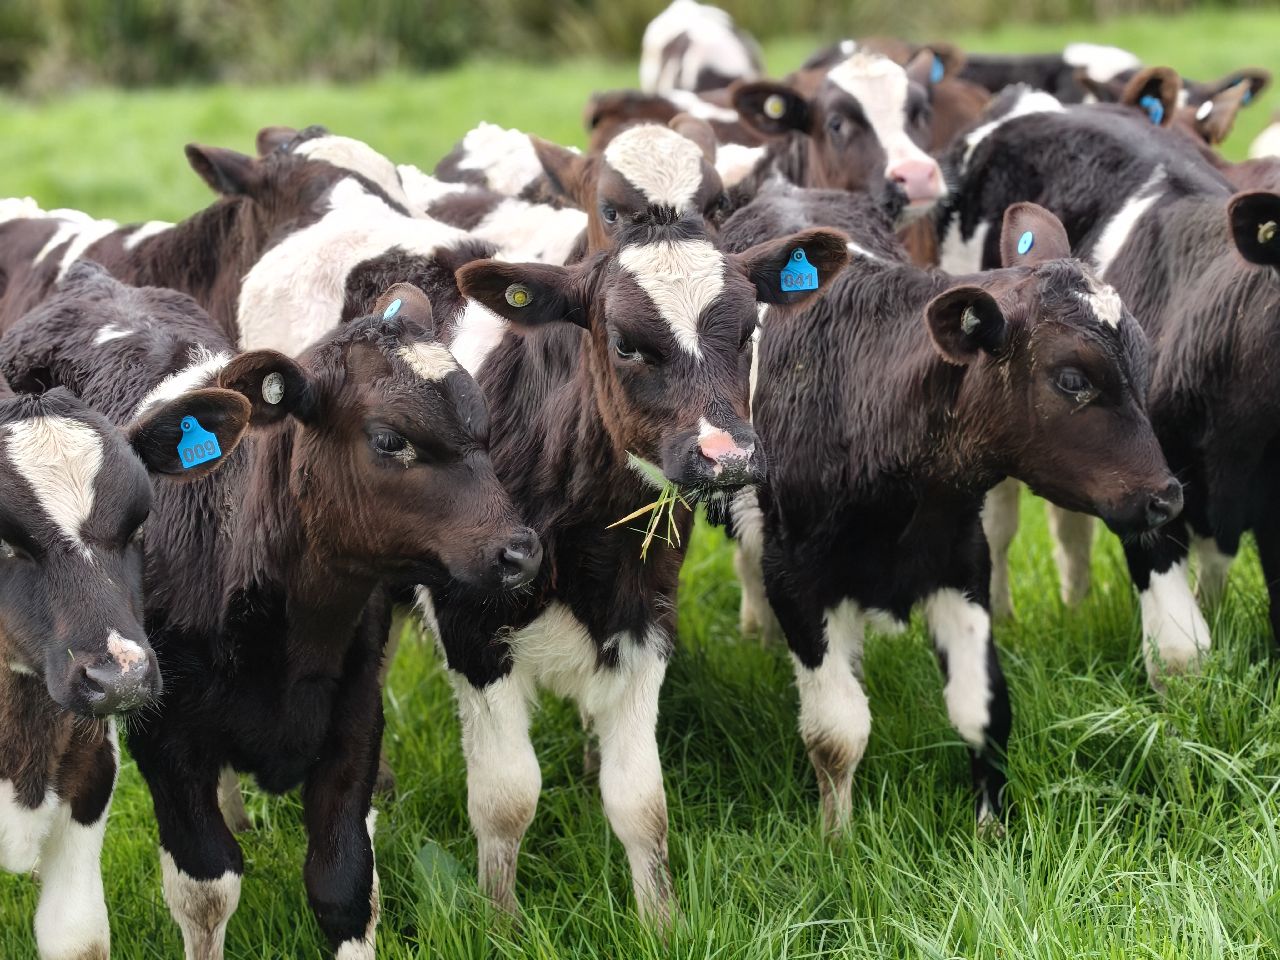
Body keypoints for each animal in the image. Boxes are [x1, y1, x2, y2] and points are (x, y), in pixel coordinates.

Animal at [721, 185, 1180, 832]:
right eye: (1071, 379)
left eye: (1142, 360)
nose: (1167, 496)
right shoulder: (795, 577)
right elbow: (836, 732)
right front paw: (838, 840)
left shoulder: (962, 558)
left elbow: (983, 710)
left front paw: (992, 828)